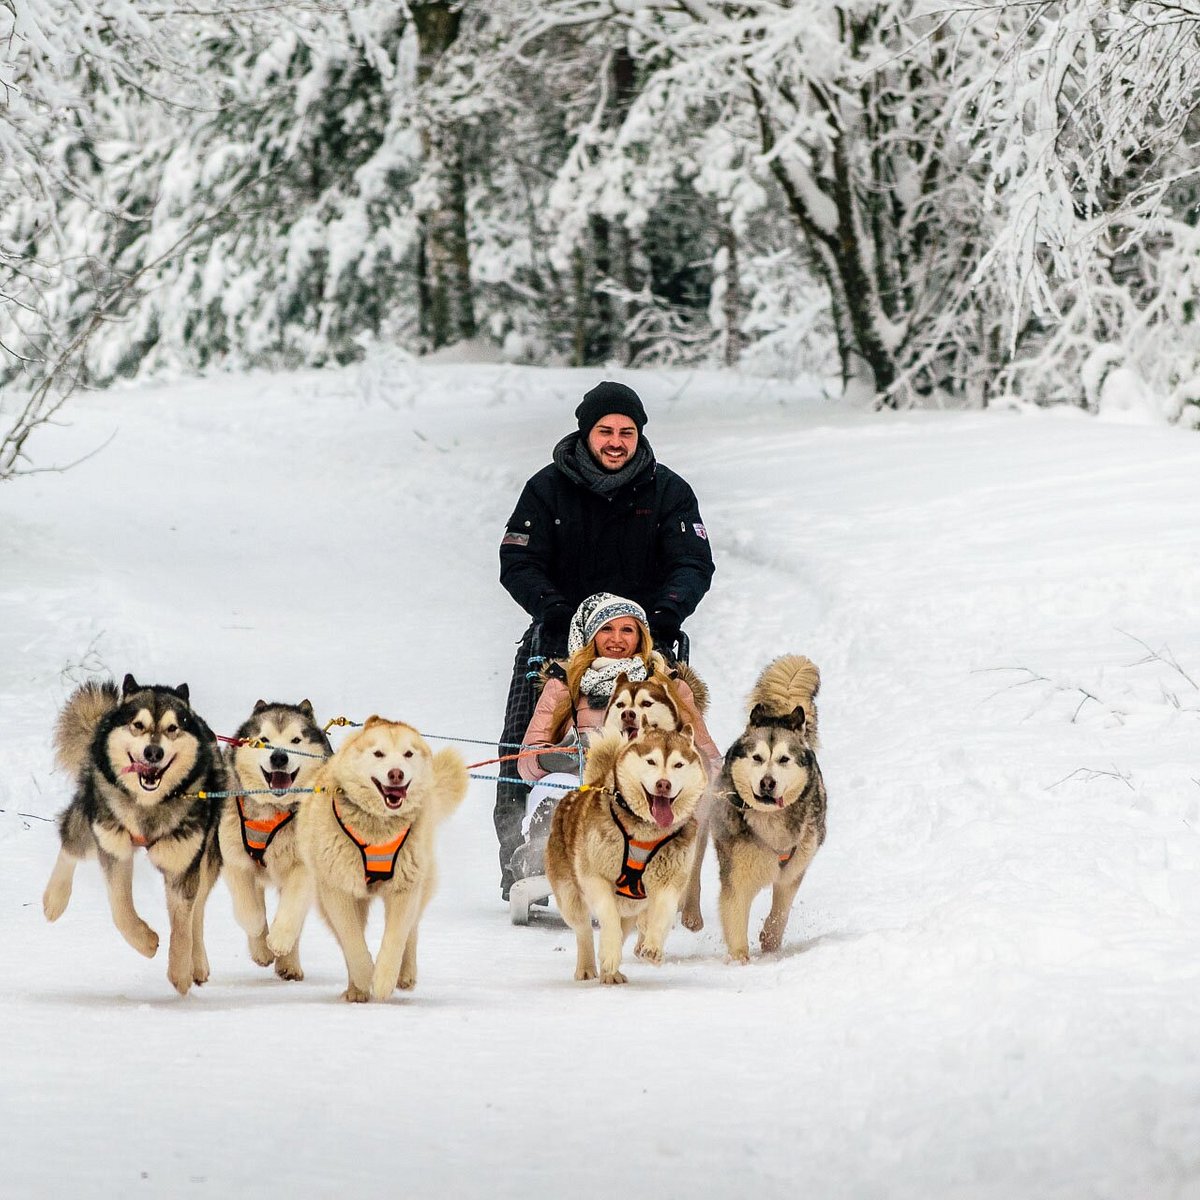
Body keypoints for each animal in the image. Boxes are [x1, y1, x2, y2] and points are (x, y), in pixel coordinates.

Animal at [42, 676, 225, 993]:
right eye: (138, 725)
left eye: (172, 728)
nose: (153, 753)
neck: (147, 809)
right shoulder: (114, 848)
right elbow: (120, 911)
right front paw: (147, 942)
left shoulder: (183, 864)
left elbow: (183, 924)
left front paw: (180, 971)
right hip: (93, 818)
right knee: (71, 841)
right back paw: (54, 899)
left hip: (206, 857)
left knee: (198, 911)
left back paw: (197, 963)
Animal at [218, 700, 331, 979]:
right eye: (263, 740)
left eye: (296, 739)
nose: (279, 756)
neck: (273, 809)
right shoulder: (235, 861)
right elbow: (249, 910)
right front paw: (260, 935)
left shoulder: (302, 868)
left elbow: (291, 909)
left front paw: (279, 940)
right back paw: (261, 948)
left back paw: (288, 962)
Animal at [268, 710, 468, 1003]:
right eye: (379, 753)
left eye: (408, 754)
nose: (396, 774)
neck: (377, 829)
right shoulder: (338, 890)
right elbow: (352, 940)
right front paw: (364, 977)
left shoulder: (404, 888)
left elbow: (396, 937)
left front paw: (384, 979)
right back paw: (356, 989)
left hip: (420, 880)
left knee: (412, 930)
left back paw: (405, 973)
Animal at [547, 724, 705, 988]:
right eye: (651, 761)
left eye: (678, 764)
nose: (663, 784)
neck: (645, 831)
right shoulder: (595, 878)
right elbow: (608, 917)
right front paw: (609, 953)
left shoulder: (670, 880)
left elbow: (662, 912)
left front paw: (652, 947)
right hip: (569, 896)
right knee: (584, 930)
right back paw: (589, 966)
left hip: (631, 907)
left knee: (624, 930)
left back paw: (611, 972)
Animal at [710, 657, 825, 964]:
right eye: (757, 758)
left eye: (784, 759)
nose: (767, 782)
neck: (771, 823)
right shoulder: (737, 874)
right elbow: (735, 915)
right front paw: (740, 961)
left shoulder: (793, 871)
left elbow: (780, 911)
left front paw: (770, 940)